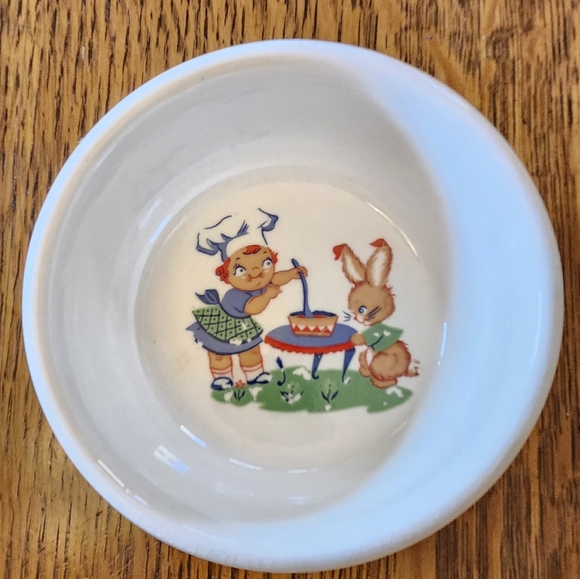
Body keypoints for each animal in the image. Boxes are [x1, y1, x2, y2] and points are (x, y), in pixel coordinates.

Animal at [333, 239, 419, 389]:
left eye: (362, 309)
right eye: (357, 310)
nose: (359, 319)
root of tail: (405, 369)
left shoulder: (379, 331)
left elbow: (372, 337)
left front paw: (356, 338)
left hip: (381, 362)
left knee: (391, 380)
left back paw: (378, 383)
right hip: (364, 357)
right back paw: (365, 372)